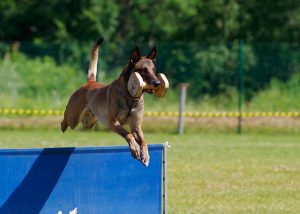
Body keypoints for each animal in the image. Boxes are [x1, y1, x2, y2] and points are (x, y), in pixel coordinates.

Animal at [59, 37, 161, 166]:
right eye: (144, 70)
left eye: (154, 70)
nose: (157, 83)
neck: (130, 97)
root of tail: (91, 82)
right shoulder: (113, 123)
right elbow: (128, 134)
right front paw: (135, 150)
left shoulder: (136, 126)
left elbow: (143, 141)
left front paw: (145, 156)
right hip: (73, 119)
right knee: (66, 117)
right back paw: (63, 125)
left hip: (89, 122)